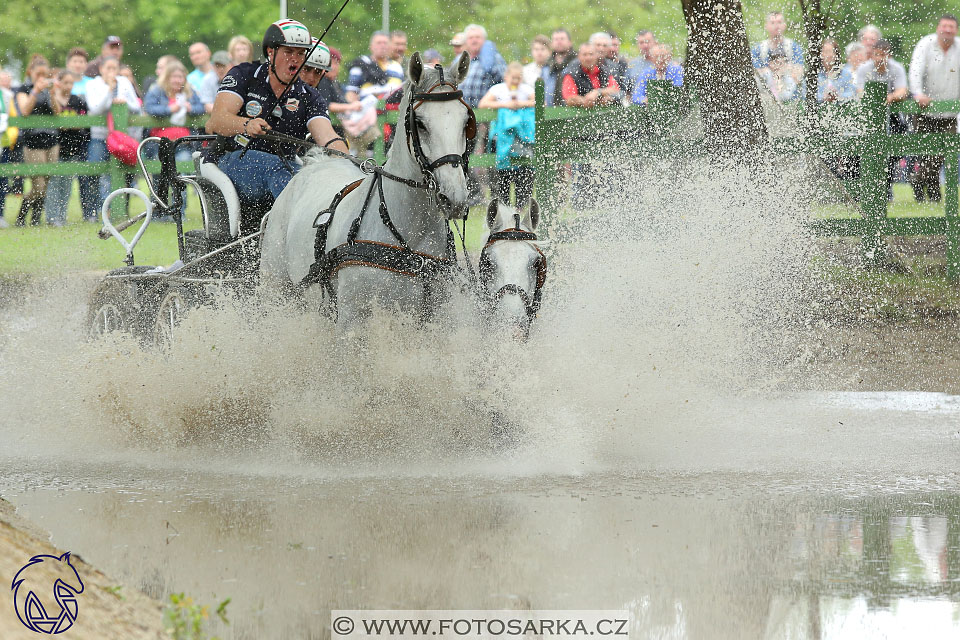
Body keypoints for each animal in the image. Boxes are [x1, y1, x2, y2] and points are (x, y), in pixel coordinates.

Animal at [260, 51, 474, 324]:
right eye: (420, 123)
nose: (453, 197)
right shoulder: (353, 318)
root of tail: (314, 164)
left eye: (466, 122)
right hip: (276, 289)